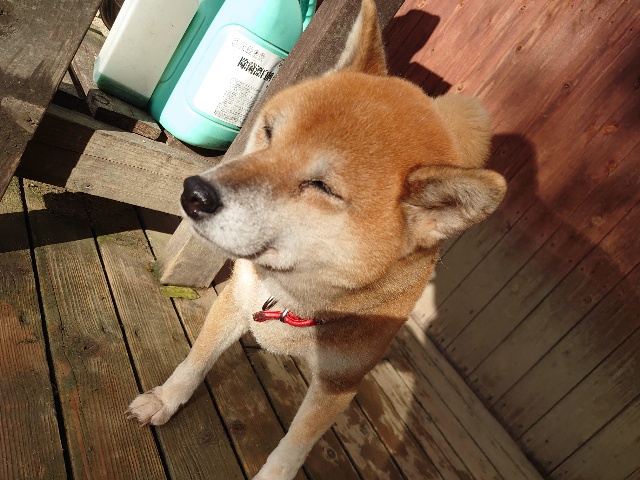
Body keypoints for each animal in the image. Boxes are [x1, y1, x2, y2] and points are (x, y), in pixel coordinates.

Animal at [127, 0, 507, 477]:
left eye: (321, 187)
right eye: (269, 131)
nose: (193, 192)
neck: (297, 299)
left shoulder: (339, 382)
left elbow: (295, 444)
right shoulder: (235, 300)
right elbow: (195, 362)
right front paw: (166, 398)